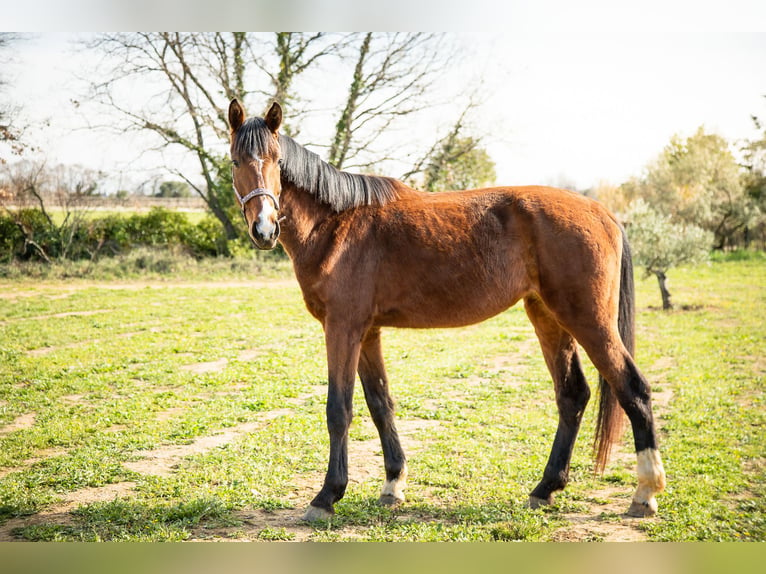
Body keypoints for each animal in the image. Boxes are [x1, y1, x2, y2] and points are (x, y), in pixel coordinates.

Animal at [226, 100, 664, 528]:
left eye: (276, 159)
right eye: (235, 161)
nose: (264, 229)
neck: (336, 224)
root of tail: (602, 212)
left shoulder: (342, 328)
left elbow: (339, 409)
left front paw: (326, 496)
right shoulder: (367, 333)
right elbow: (380, 403)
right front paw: (393, 485)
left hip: (590, 321)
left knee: (633, 388)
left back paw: (644, 493)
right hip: (549, 318)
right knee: (572, 394)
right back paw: (546, 489)